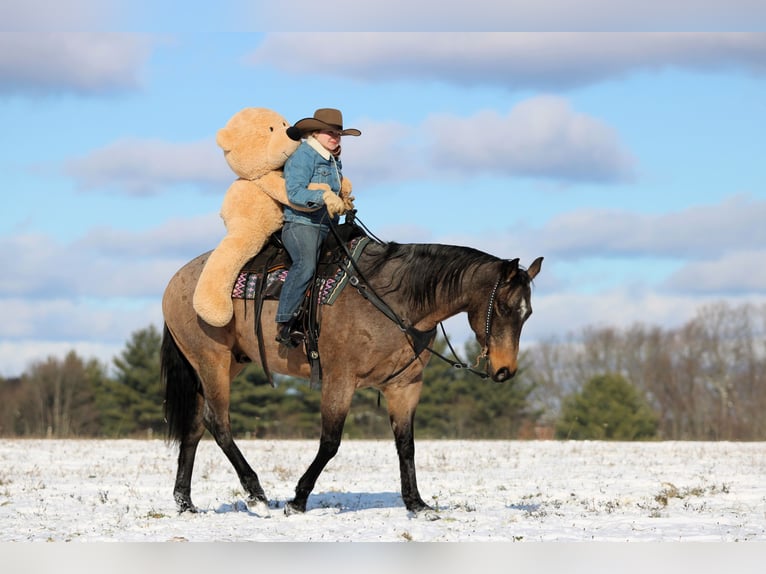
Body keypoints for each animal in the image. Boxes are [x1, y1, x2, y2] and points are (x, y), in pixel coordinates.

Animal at [160, 228, 543, 519]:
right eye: (504, 306)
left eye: (528, 313)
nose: (505, 370)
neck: (395, 300)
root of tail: (176, 280)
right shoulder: (339, 381)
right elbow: (330, 443)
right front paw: (298, 500)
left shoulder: (405, 386)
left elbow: (406, 445)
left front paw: (417, 504)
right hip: (213, 361)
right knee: (217, 422)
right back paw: (256, 494)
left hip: (223, 366)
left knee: (194, 427)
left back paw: (185, 503)